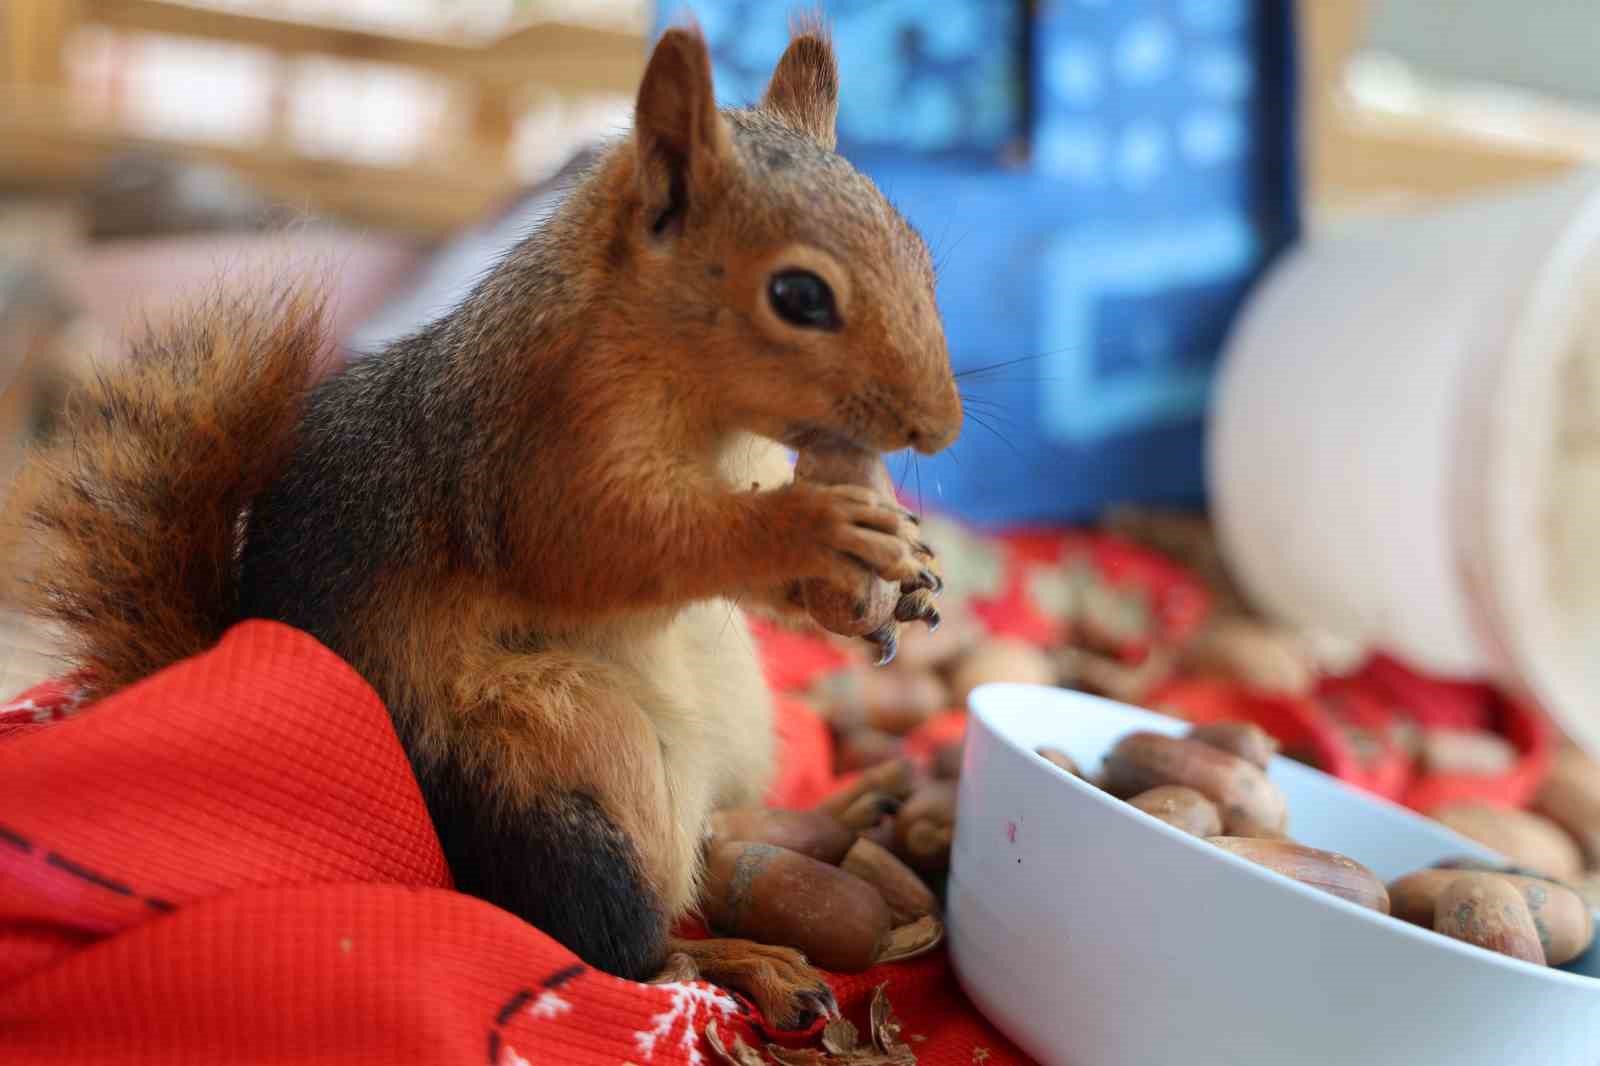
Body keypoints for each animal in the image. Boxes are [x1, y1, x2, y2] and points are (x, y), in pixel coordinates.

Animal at [3, 22, 960, 1024]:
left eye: (919, 252)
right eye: (799, 296)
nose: (939, 427)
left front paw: (907, 576)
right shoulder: (530, 458)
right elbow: (611, 546)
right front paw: (811, 528)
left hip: (738, 721)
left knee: (706, 847)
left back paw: (832, 816)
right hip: (563, 752)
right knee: (628, 951)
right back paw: (747, 960)